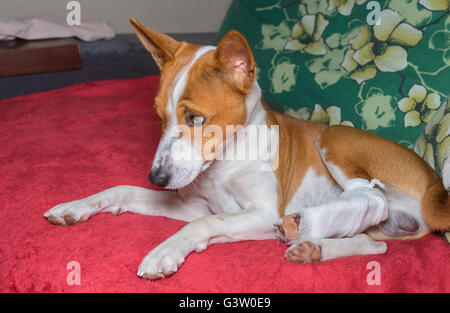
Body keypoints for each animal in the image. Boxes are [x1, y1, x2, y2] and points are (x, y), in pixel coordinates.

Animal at [43, 18, 450, 280]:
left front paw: (166, 251)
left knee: (368, 200)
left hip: (334, 138)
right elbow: (124, 190)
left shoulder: (263, 212)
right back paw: (313, 247)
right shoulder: (191, 204)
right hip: (378, 227)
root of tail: (434, 182)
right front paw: (76, 206)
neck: (225, 162)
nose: (156, 177)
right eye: (159, 116)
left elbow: (207, 223)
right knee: (372, 245)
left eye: (195, 118)